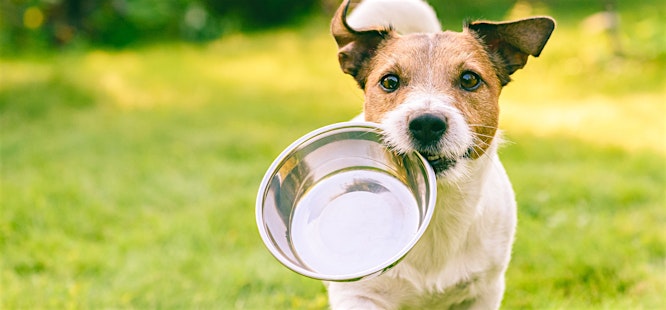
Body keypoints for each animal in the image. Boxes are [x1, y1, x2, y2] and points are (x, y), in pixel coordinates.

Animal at [324, 1, 552, 308]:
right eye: (389, 81)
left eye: (469, 79)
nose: (426, 124)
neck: (437, 208)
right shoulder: (358, 294)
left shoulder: (484, 291)